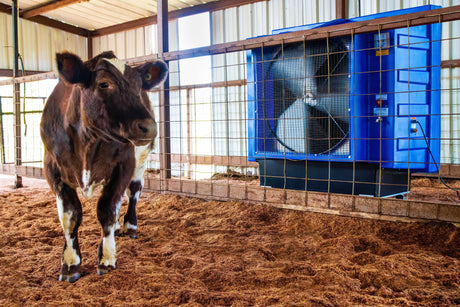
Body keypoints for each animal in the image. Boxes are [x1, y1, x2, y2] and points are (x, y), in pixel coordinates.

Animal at [40, 51, 168, 284]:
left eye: (139, 86)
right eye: (104, 84)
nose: (149, 126)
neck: (88, 143)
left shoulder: (124, 164)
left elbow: (107, 209)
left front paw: (107, 258)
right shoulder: (52, 169)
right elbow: (70, 216)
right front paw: (70, 263)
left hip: (141, 158)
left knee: (133, 191)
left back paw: (129, 226)